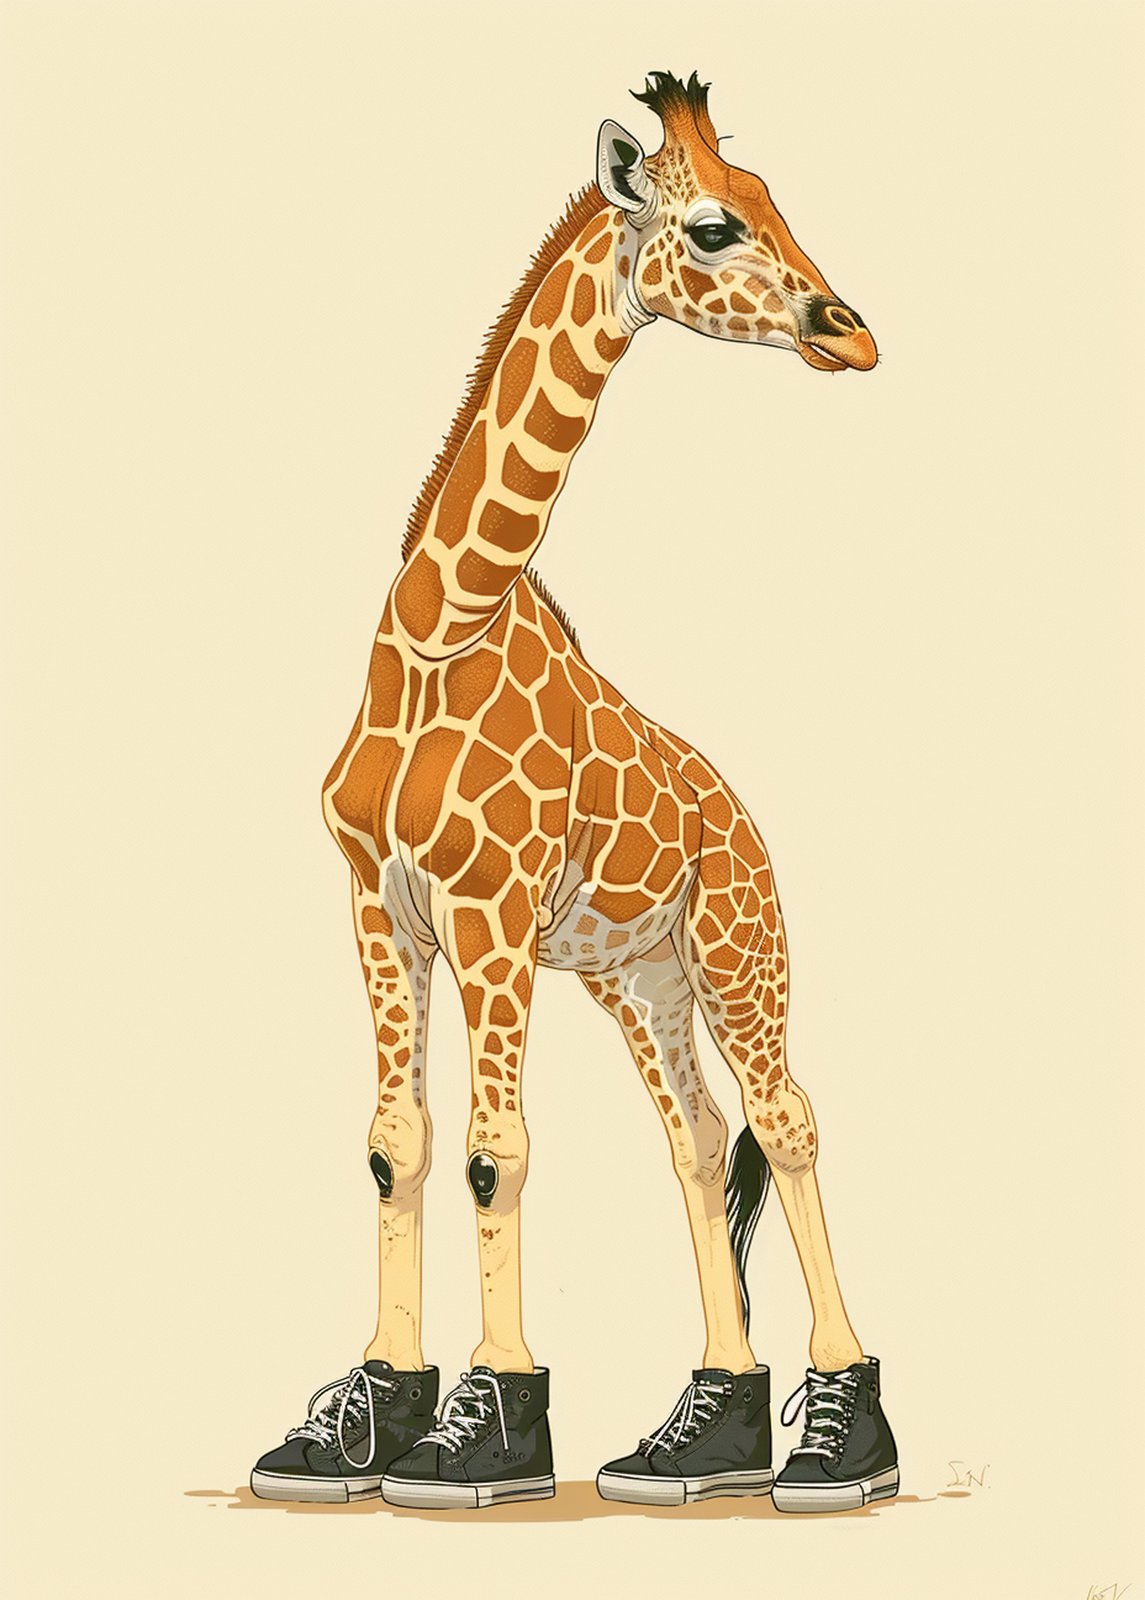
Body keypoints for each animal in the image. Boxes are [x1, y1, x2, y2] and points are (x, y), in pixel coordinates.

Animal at [250, 70, 898, 1514]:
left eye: (772, 201)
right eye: (715, 225)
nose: (852, 332)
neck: (439, 626)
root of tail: (747, 822)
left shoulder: (488, 911)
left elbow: (498, 1148)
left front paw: (482, 1436)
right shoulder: (378, 906)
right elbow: (398, 1139)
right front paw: (365, 1414)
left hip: (737, 949)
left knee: (787, 1118)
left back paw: (840, 1443)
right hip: (638, 980)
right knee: (699, 1138)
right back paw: (702, 1436)